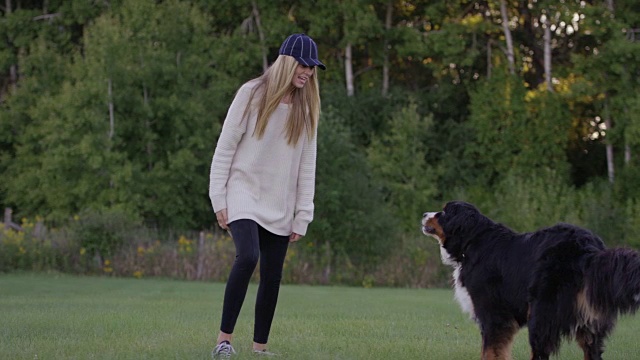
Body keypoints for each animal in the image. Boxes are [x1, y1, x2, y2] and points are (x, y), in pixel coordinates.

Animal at [420, 201, 640, 358]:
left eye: (444, 212)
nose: (423, 215)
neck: (472, 241)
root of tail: (586, 248)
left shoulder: (493, 314)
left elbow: (490, 351)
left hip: (541, 314)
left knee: (540, 352)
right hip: (589, 323)